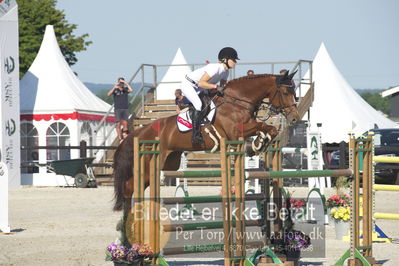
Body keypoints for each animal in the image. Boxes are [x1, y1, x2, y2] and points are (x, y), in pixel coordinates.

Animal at [112, 70, 300, 210]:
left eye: (295, 93)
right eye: (285, 92)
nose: (295, 119)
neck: (238, 101)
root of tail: (140, 132)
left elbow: (269, 128)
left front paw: (259, 143)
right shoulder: (235, 132)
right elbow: (262, 125)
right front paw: (258, 143)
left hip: (168, 163)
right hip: (148, 165)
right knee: (130, 187)